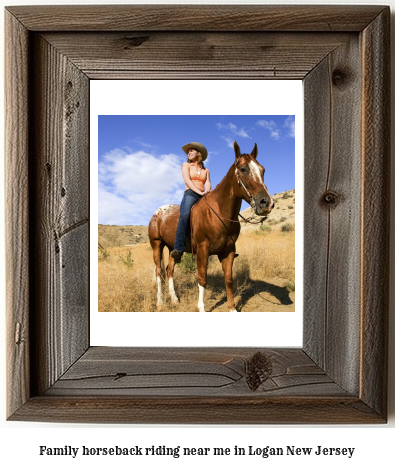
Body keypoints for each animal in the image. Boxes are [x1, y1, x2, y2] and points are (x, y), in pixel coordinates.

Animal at [148, 141, 276, 314]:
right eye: (243, 169)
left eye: (262, 170)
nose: (266, 203)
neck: (218, 212)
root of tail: (158, 212)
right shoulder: (202, 250)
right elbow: (202, 278)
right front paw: (201, 308)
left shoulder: (228, 251)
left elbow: (228, 279)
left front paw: (232, 308)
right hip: (157, 245)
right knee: (159, 272)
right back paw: (160, 303)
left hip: (171, 248)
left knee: (169, 270)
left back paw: (174, 300)